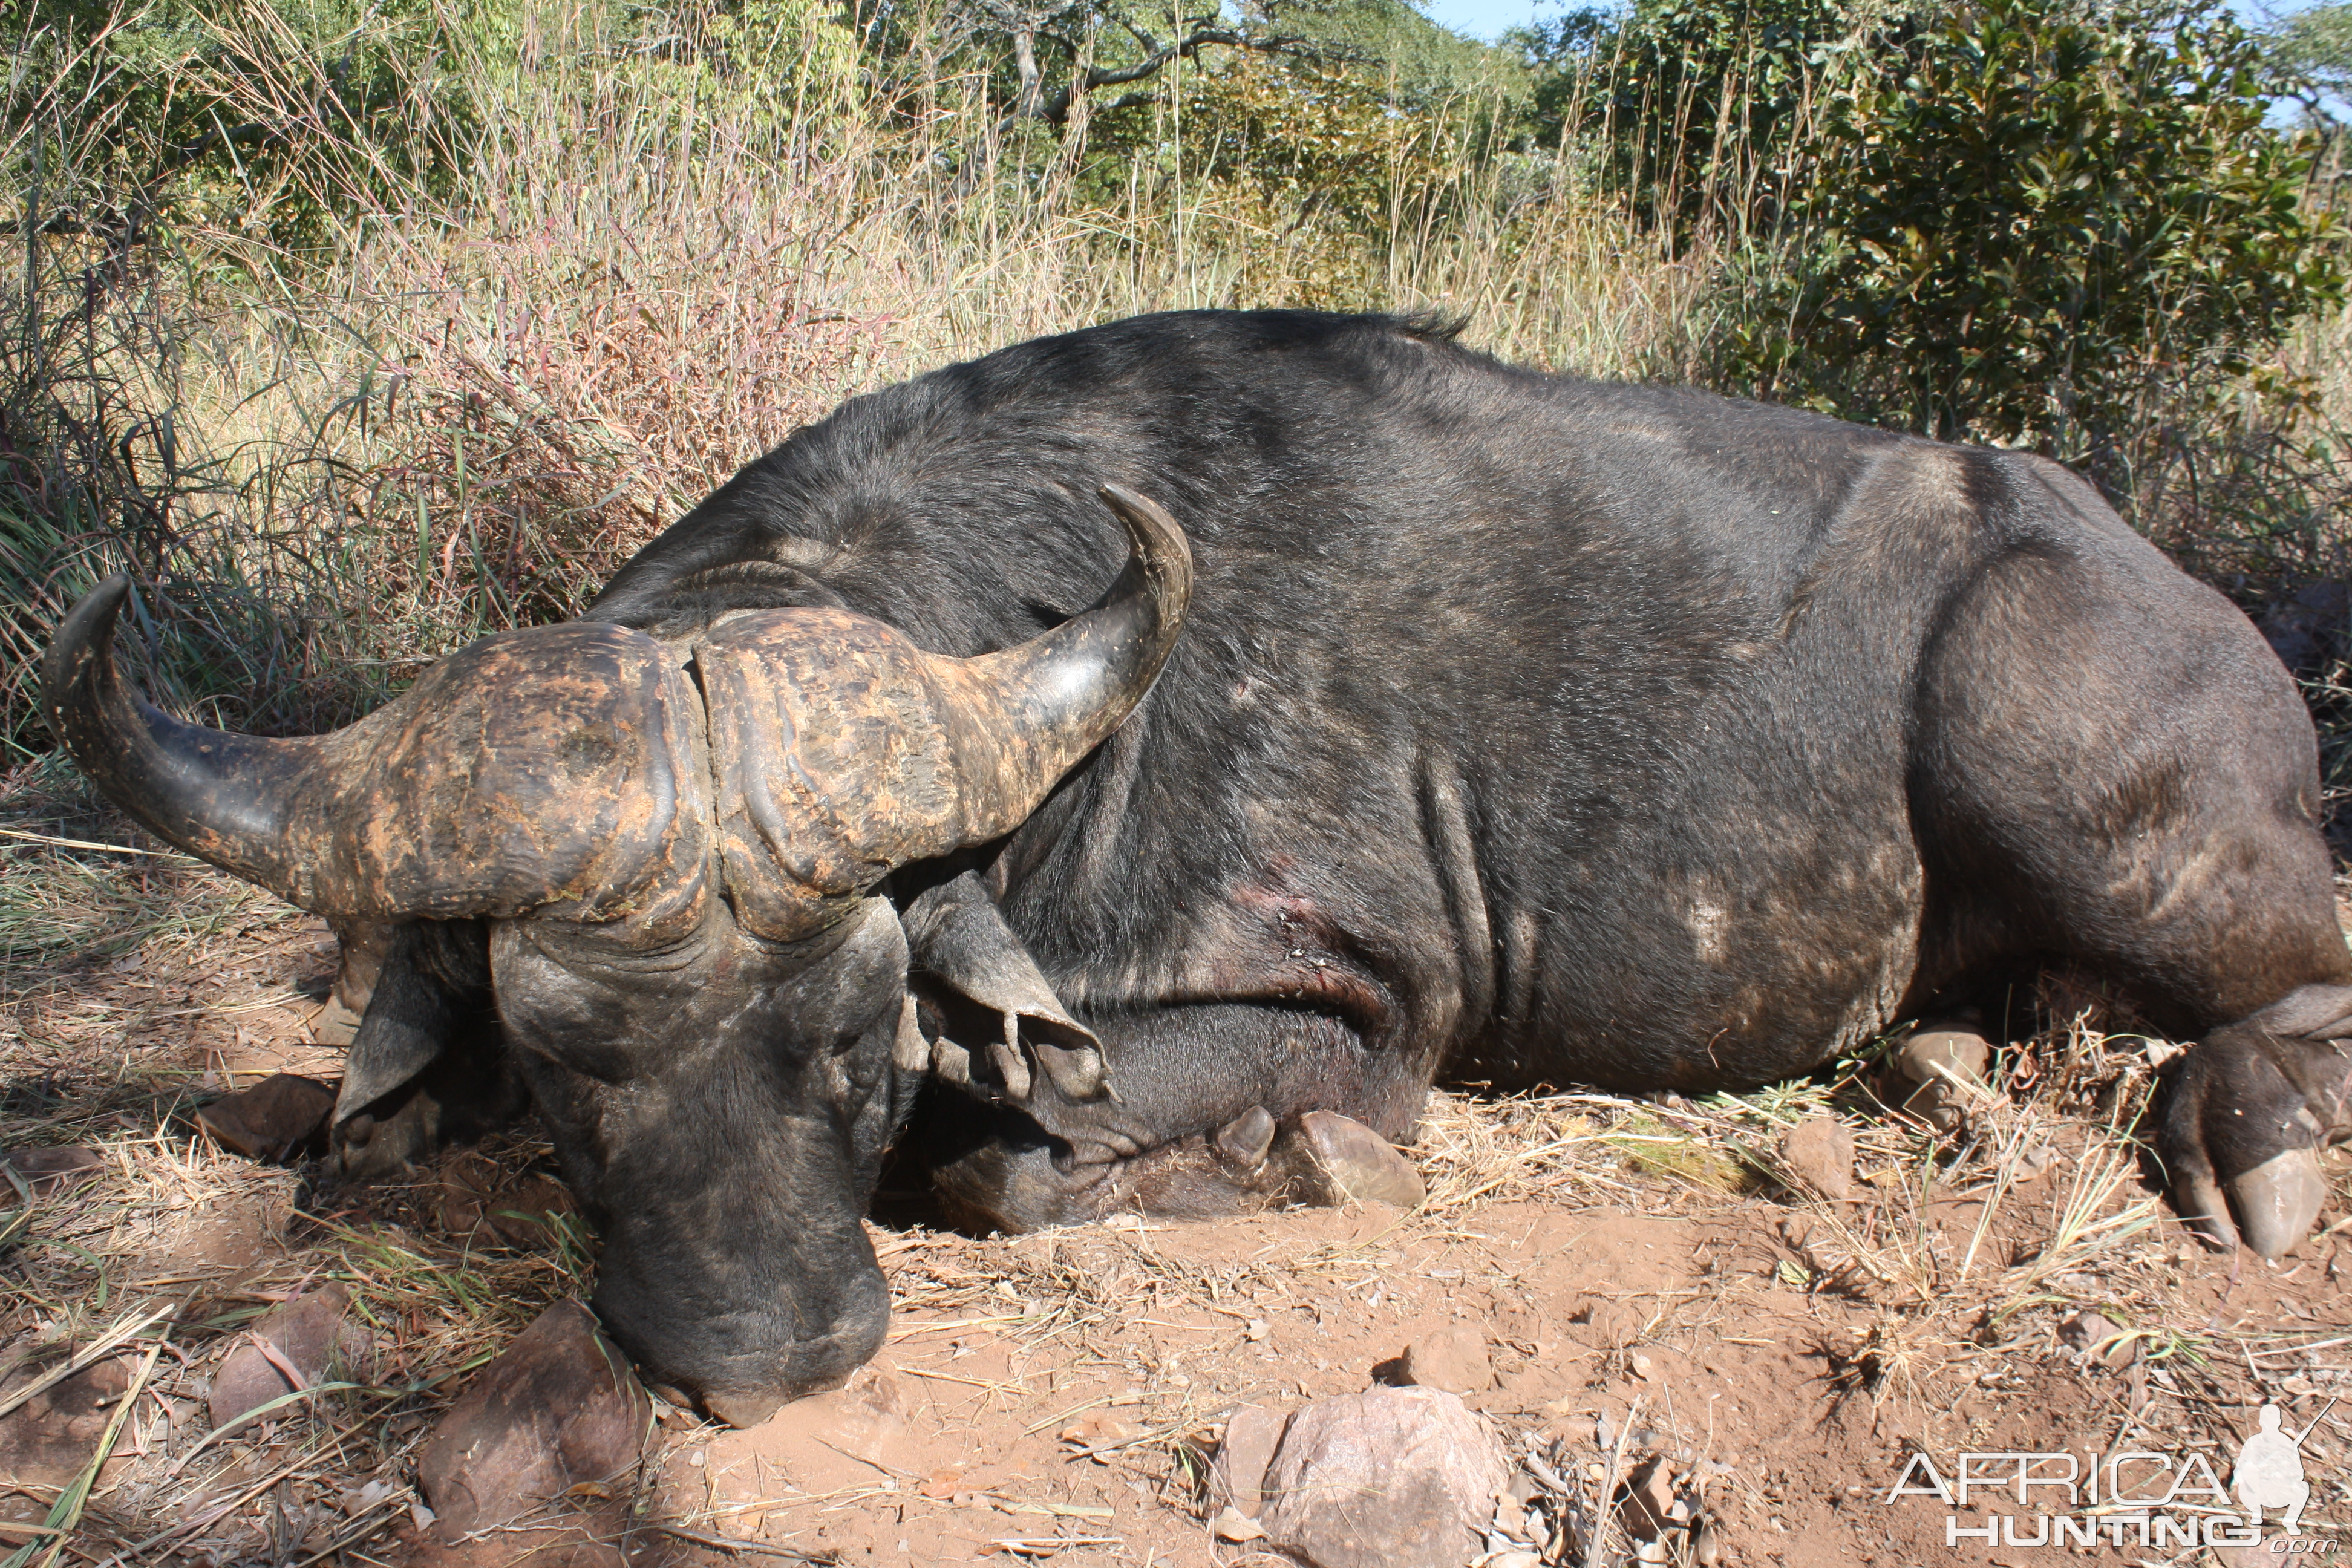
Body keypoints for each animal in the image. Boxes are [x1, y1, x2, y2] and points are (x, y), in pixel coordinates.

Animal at [36, 312, 2352, 1429]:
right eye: (556, 1059)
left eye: (859, 1034)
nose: (765, 1354)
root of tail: (2171, 588)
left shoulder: (1341, 1010)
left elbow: (1008, 1155)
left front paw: (1273, 1165)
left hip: (2072, 772)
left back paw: (2247, 1133)